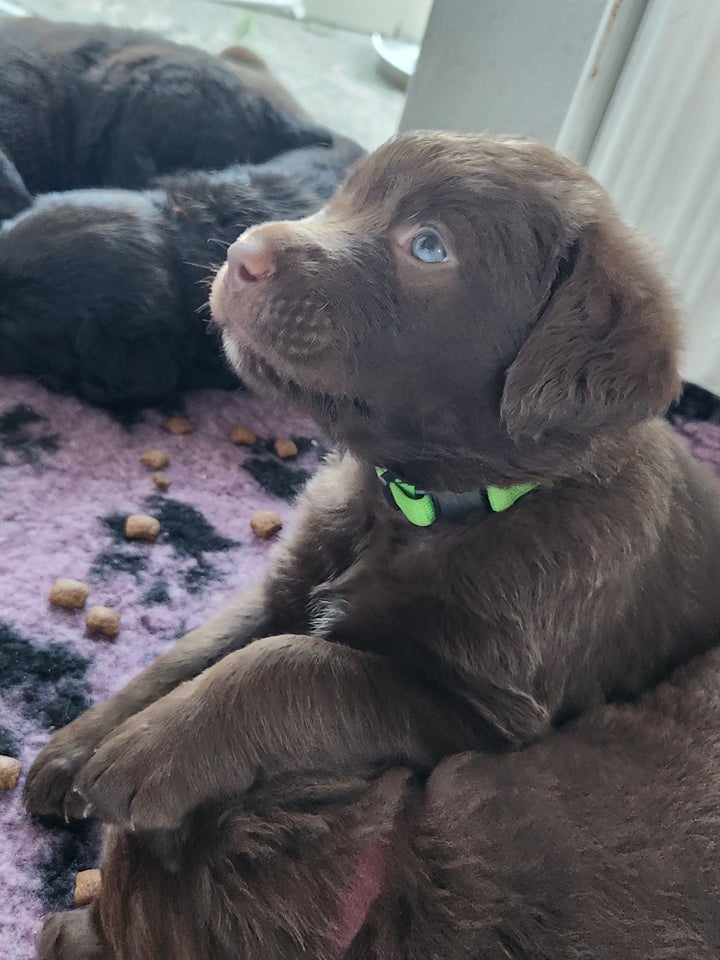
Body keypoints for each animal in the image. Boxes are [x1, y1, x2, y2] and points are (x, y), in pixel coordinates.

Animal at [25, 131, 720, 948]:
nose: (241, 252)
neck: (420, 509)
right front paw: (79, 745)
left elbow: (290, 661)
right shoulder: (291, 576)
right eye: (343, 198)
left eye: (428, 246)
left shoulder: (483, 714)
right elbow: (198, 648)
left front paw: (145, 751)